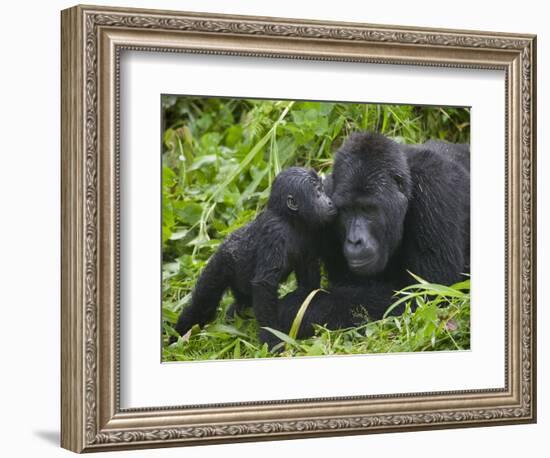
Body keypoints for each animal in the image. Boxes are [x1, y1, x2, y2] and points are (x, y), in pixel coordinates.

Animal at [174, 167, 336, 348]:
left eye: (322, 189)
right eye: (318, 192)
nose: (330, 202)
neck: (290, 219)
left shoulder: (311, 232)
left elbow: (308, 280)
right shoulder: (275, 232)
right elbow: (264, 285)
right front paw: (272, 338)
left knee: (241, 300)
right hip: (221, 262)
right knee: (202, 303)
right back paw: (179, 335)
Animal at [282, 131, 472, 336]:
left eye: (368, 209)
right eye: (346, 210)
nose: (354, 240)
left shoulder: (434, 189)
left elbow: (427, 295)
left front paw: (300, 308)